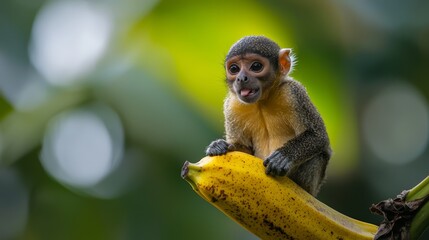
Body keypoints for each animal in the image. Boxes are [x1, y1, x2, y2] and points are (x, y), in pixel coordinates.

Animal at [205, 36, 332, 197]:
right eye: (234, 69)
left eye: (256, 66)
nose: (241, 78)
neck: (262, 102)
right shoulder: (232, 106)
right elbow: (244, 150)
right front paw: (220, 145)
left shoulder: (293, 93)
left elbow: (318, 136)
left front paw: (284, 157)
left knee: (318, 155)